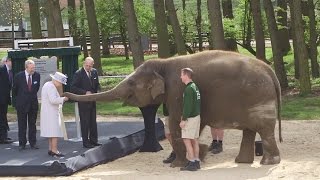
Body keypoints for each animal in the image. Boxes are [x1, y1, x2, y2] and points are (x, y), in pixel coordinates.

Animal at [63, 50, 282, 166]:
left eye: (132, 82)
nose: (64, 93)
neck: (163, 62)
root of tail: (270, 71)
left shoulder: (179, 90)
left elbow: (178, 123)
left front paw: (181, 164)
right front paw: (197, 155)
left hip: (259, 97)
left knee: (263, 129)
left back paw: (268, 162)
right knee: (250, 130)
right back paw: (242, 161)